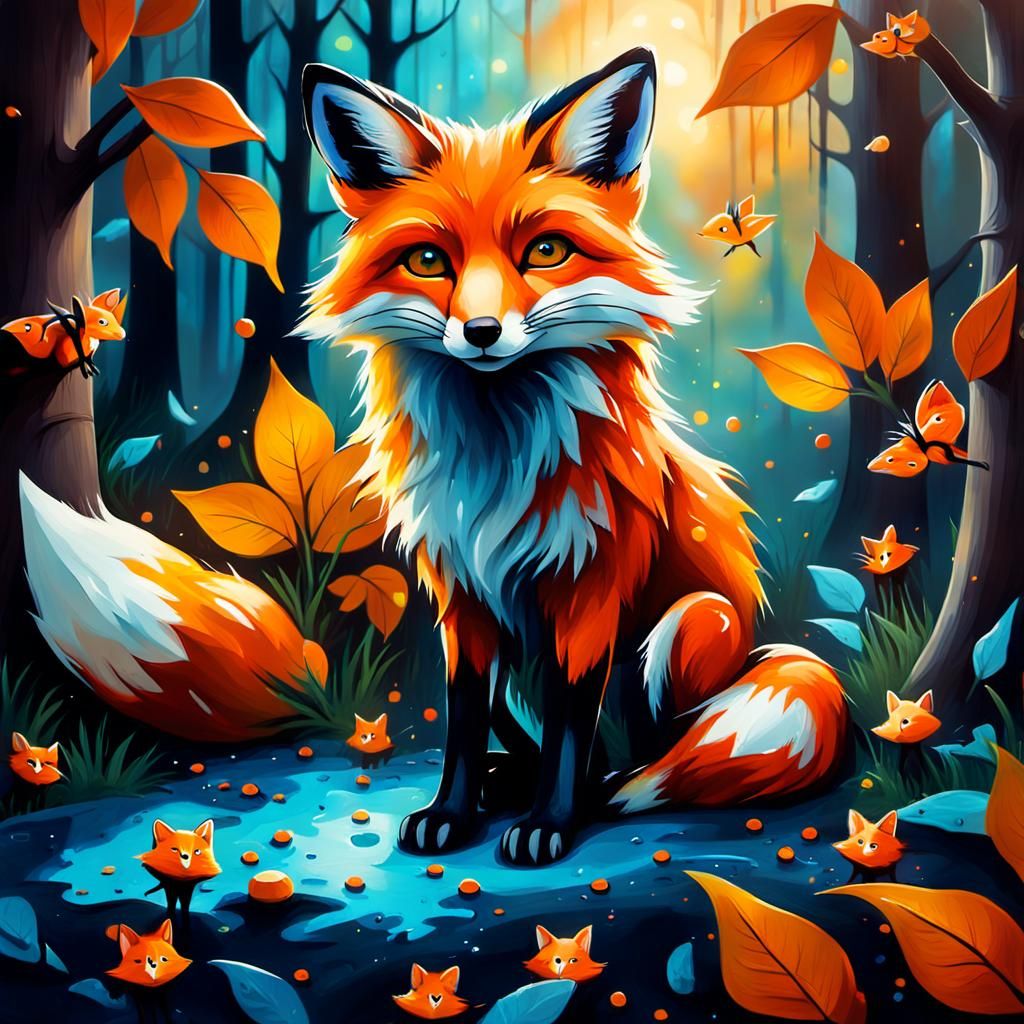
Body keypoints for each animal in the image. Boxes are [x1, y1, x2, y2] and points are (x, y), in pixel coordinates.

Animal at [299, 48, 848, 865]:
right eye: (428, 260)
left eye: (546, 251)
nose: (482, 331)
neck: (497, 463)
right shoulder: (462, 599)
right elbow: (463, 724)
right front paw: (451, 811)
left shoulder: (592, 592)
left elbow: (569, 724)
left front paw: (550, 825)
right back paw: (507, 783)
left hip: (692, 621)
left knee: (642, 755)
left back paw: (590, 794)